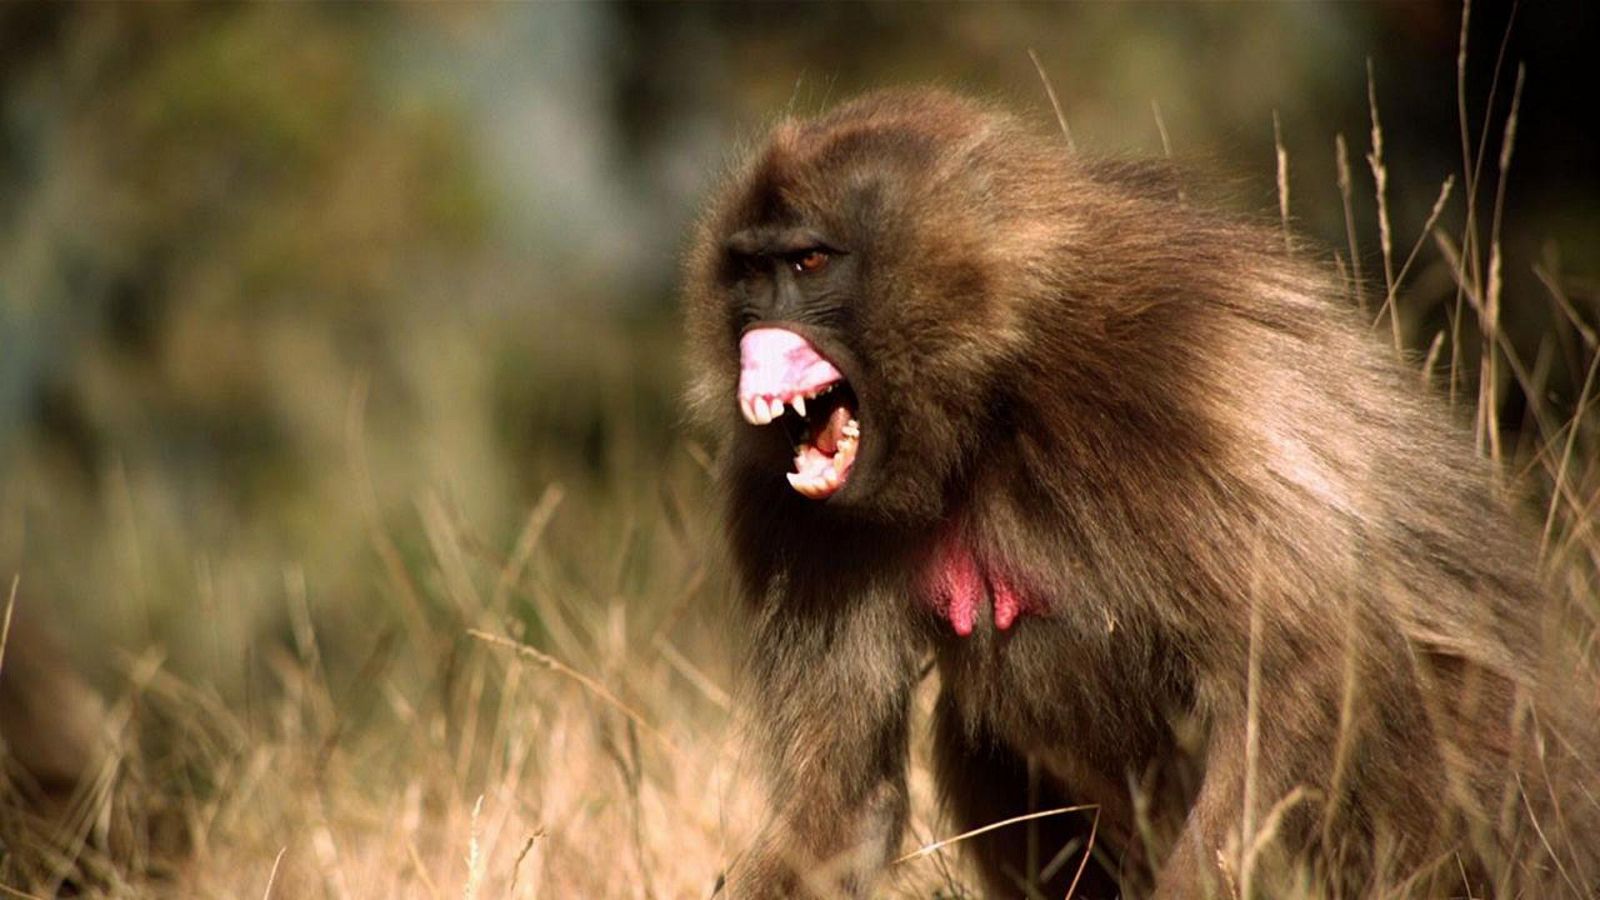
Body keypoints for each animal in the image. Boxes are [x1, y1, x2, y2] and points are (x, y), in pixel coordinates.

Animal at [681, 91, 1593, 896]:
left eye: (808, 263)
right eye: (748, 273)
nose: (752, 337)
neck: (988, 394)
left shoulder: (1162, 381)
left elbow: (1305, 660)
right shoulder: (784, 514)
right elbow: (838, 812)